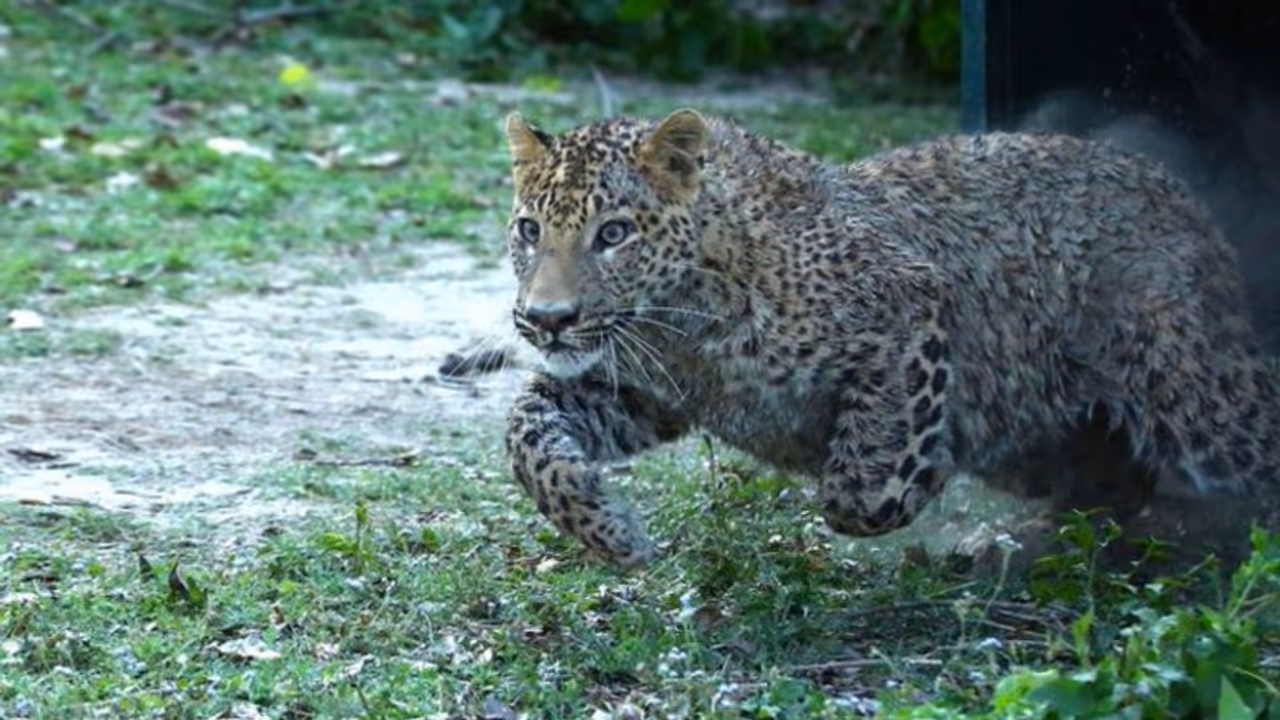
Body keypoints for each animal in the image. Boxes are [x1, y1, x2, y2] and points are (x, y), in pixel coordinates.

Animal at [500, 108, 1280, 568]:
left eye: (614, 235)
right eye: (530, 230)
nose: (546, 319)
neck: (682, 324)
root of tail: (1178, 192)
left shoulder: (910, 307)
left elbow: (861, 486)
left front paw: (916, 472)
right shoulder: (643, 389)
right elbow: (526, 434)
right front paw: (609, 529)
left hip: (1192, 386)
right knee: (1108, 482)